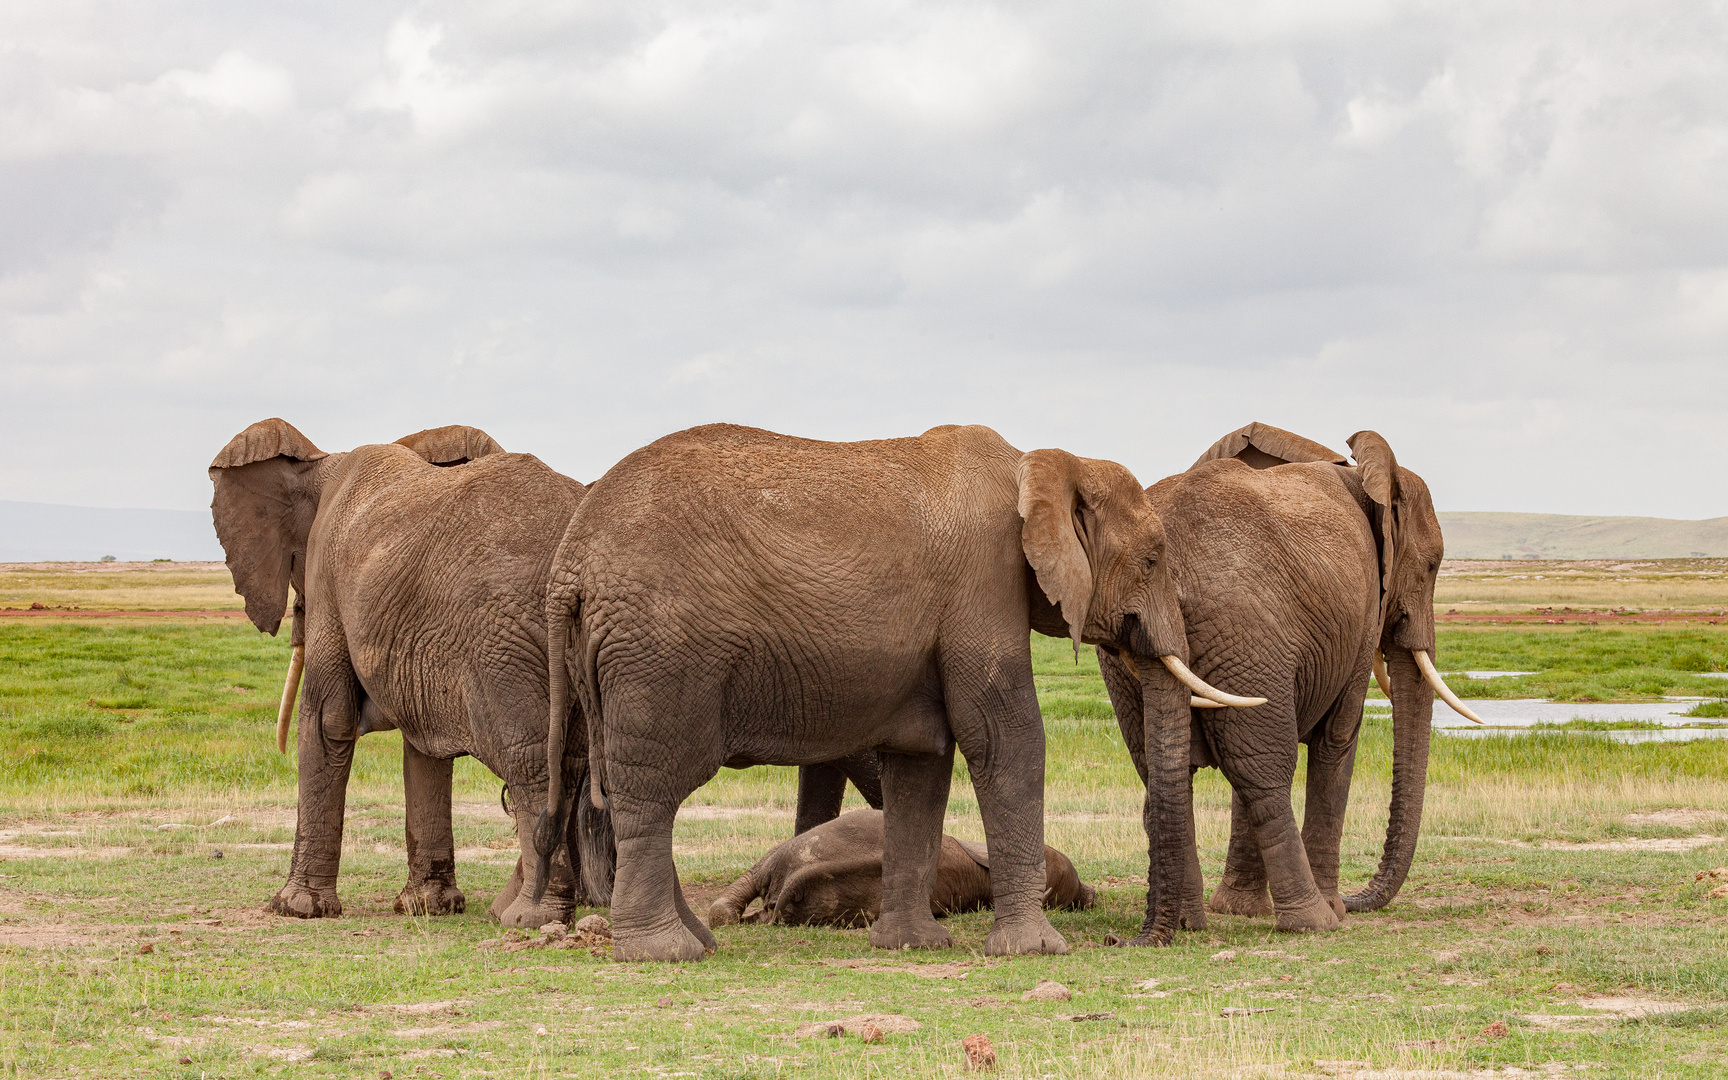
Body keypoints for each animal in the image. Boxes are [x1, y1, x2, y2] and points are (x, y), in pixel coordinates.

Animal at [209, 416, 608, 919]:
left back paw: (529, 916)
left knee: (534, 760)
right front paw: (428, 906)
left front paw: (295, 908)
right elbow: (424, 745)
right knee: (571, 761)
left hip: (506, 643)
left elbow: (327, 720)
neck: (322, 464)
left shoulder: (329, 576)